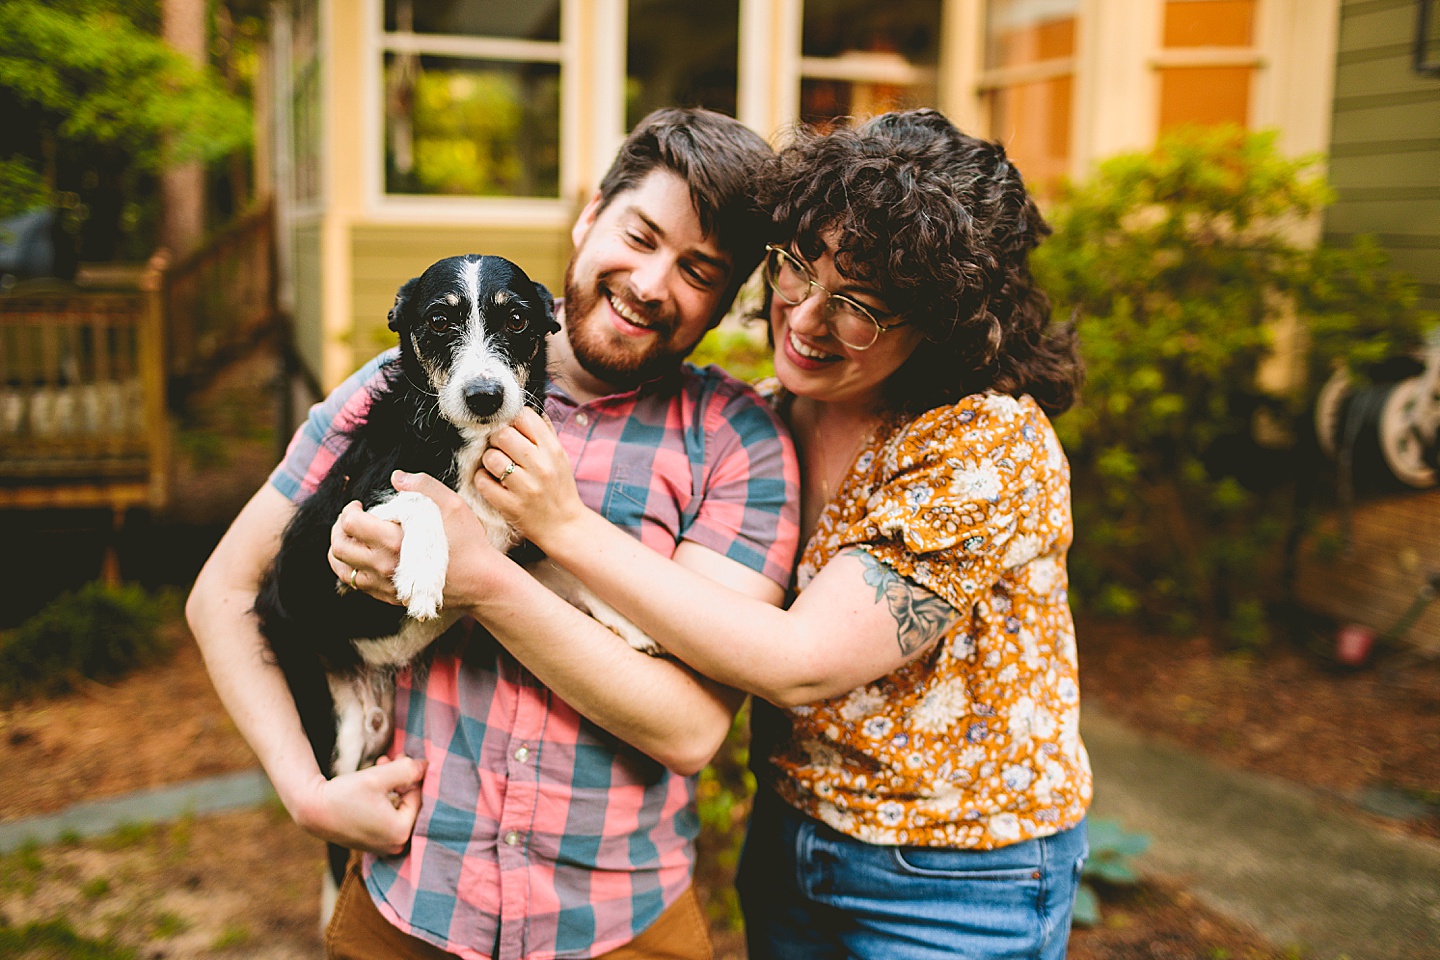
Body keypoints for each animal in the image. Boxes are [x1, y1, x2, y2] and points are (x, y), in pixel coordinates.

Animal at [254, 257, 659, 886]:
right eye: (439, 320)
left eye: (516, 319)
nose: (485, 395)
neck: (468, 444)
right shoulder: (343, 534)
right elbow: (421, 499)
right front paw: (423, 575)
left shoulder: (518, 556)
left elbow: (577, 578)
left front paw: (634, 623)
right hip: (335, 730)